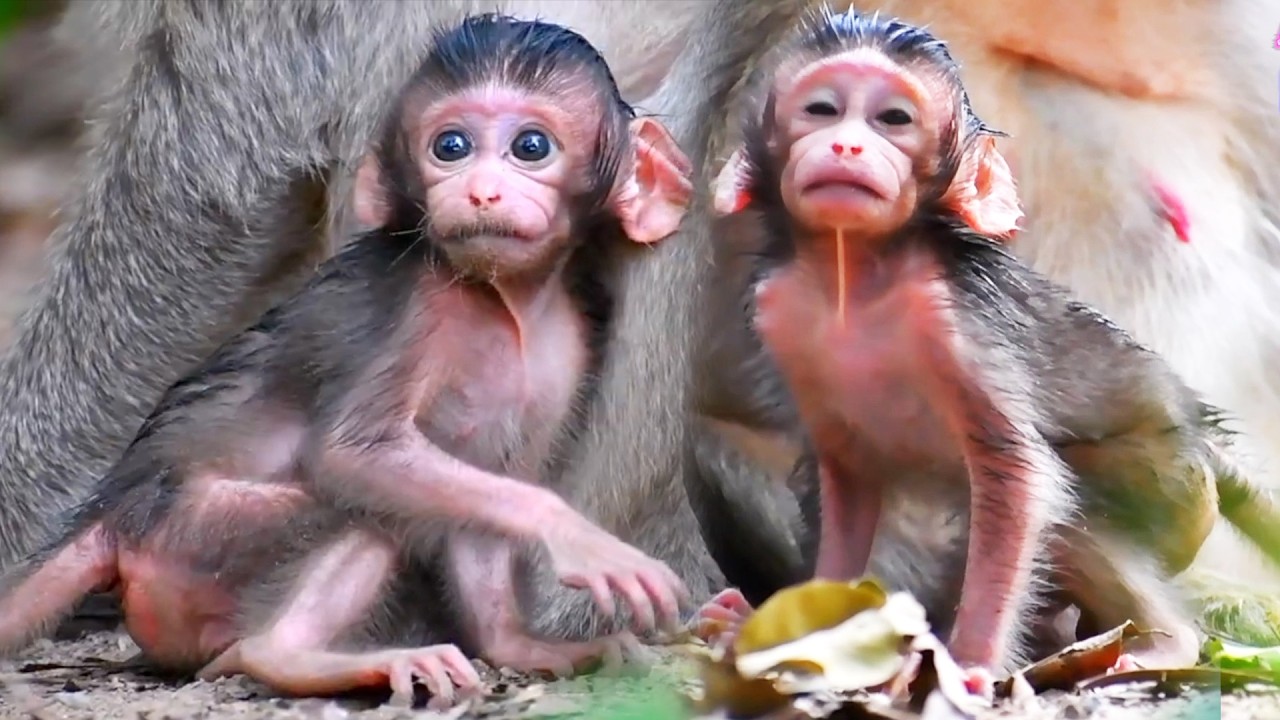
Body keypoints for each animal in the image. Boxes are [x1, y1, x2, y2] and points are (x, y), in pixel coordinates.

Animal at [687, 8, 1279, 688]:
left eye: (894, 119)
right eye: (822, 109)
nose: (846, 146)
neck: (851, 277)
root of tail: (1199, 430)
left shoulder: (950, 320)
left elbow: (1017, 475)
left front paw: (969, 663)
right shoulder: (780, 310)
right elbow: (845, 480)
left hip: (1170, 483)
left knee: (1071, 513)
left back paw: (1166, 640)